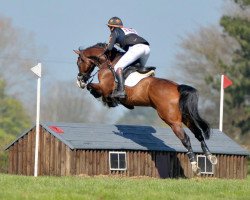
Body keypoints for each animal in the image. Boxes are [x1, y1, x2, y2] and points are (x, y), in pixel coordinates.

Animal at [73, 42, 217, 175]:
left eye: (79, 62)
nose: (80, 79)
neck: (109, 63)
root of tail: (177, 87)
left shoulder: (104, 87)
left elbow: (92, 88)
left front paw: (109, 100)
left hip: (172, 121)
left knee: (186, 139)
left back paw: (195, 166)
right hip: (186, 117)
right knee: (198, 133)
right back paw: (210, 157)